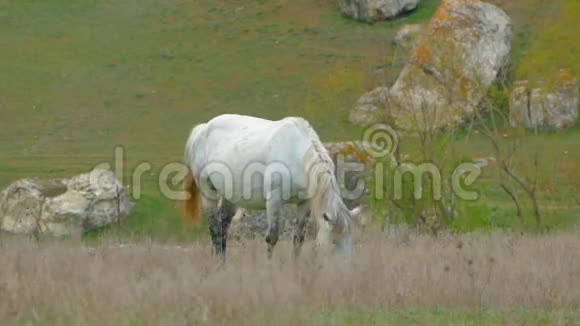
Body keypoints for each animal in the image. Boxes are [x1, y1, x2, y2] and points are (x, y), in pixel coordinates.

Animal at [184, 114, 360, 260]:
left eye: (349, 241)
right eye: (334, 242)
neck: (295, 152)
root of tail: (202, 129)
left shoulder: (304, 203)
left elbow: (298, 239)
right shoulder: (274, 200)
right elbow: (272, 237)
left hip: (230, 198)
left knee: (222, 229)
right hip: (208, 193)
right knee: (215, 229)